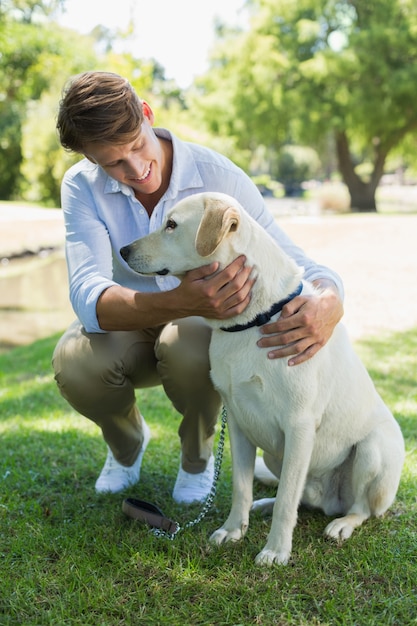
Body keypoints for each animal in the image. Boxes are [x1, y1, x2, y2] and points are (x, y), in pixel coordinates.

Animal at [120, 190, 404, 564]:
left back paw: (342, 524)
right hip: (274, 455)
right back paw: (264, 505)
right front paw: (233, 530)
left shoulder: (298, 427)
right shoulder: (239, 421)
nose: (123, 251)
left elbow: (287, 500)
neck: (253, 319)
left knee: (359, 508)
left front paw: (276, 550)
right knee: (298, 497)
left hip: (372, 450)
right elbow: (242, 488)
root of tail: (330, 502)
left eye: (171, 225)